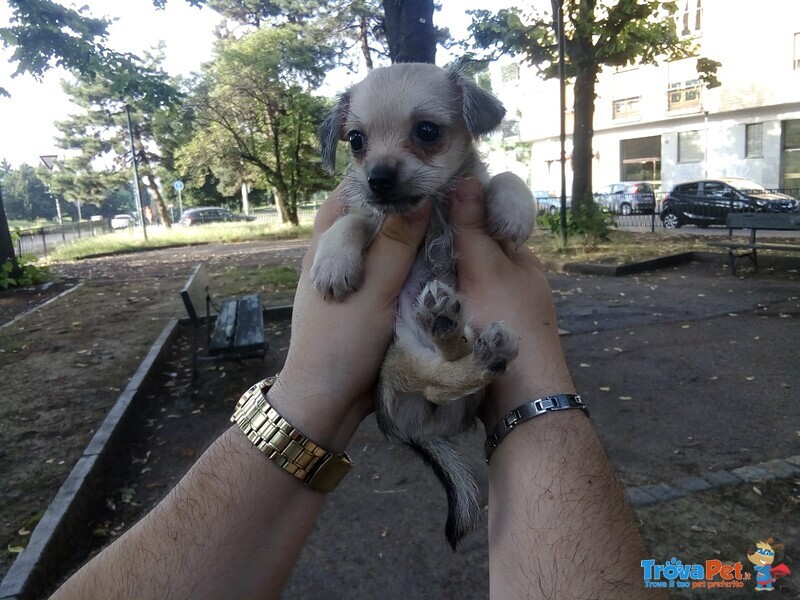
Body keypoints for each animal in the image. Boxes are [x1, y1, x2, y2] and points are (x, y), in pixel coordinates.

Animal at [316, 62, 536, 548]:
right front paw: (333, 261)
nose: (378, 179)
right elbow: (352, 220)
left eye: (427, 131)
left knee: (448, 374)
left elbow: (504, 176)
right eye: (355, 140)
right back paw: (454, 331)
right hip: (399, 355)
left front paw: (515, 209)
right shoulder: (369, 216)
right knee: (439, 378)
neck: (433, 208)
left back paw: (457, 330)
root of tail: (413, 434)